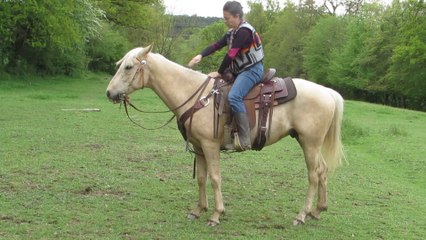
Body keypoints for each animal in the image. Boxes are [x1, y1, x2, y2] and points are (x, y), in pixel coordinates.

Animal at [106, 45, 346, 227]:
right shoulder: (199, 147)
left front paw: (216, 214)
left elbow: (214, 178)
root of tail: (327, 92)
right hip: (310, 143)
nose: (109, 93)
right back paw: (318, 211)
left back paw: (302, 215)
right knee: (322, 171)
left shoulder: (210, 145)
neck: (198, 96)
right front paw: (198, 209)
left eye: (128, 67)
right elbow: (201, 178)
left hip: (310, 143)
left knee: (313, 175)